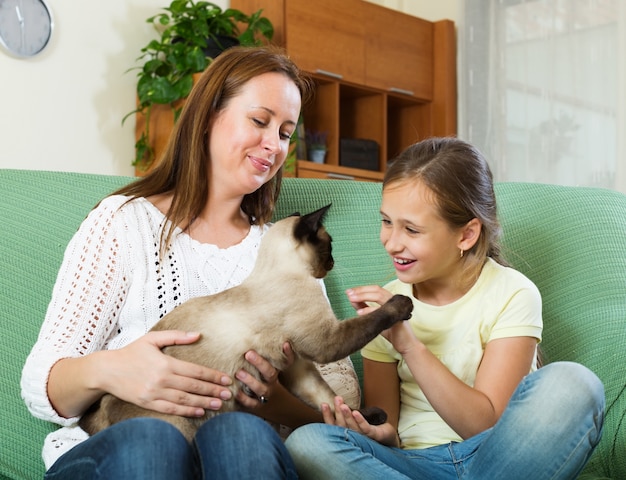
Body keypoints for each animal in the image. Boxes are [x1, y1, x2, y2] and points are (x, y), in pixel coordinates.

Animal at [79, 204, 410, 440]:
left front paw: (364, 418)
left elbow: (330, 401)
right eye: (329, 246)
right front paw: (403, 303)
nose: (332, 263)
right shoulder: (325, 342)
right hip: (179, 425)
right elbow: (374, 319)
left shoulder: (297, 367)